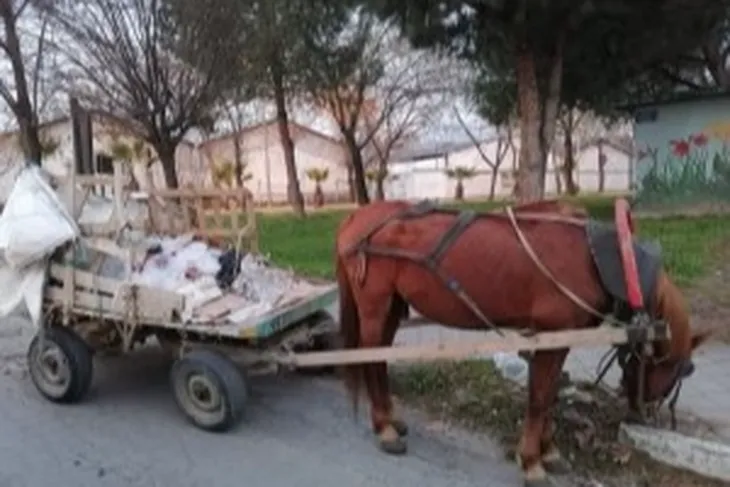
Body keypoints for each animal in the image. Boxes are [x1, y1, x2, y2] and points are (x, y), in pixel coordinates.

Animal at [336, 198, 712, 487]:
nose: (645, 415)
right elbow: (539, 398)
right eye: (680, 372)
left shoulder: (558, 340)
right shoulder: (551, 335)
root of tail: (357, 218)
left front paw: (549, 452)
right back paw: (385, 428)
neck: (598, 257)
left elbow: (550, 395)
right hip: (375, 307)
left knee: (379, 359)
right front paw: (532, 461)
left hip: (391, 309)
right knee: (370, 360)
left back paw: (391, 419)